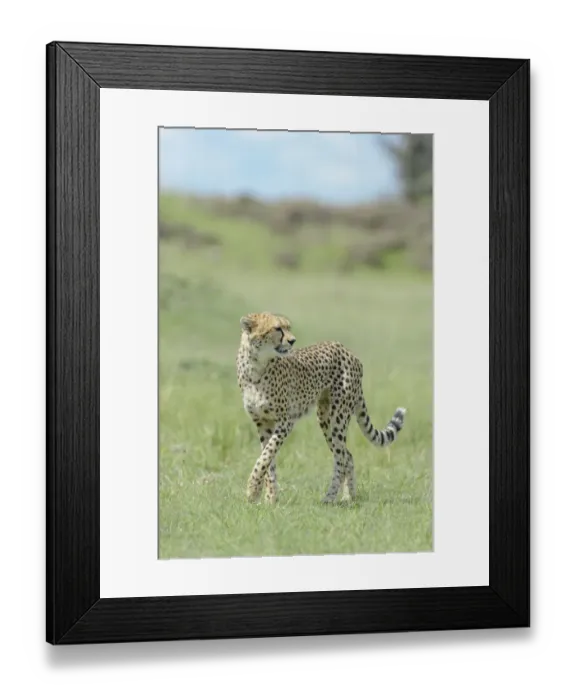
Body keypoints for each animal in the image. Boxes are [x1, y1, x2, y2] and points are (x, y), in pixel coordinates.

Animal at [236, 311, 407, 505]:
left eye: (288, 327)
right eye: (277, 328)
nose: (292, 340)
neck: (256, 366)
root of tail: (347, 350)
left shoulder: (285, 421)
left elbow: (265, 456)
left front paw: (252, 490)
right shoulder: (263, 422)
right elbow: (268, 460)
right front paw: (269, 498)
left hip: (338, 416)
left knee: (341, 457)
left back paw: (330, 497)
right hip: (325, 417)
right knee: (348, 455)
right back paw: (349, 496)